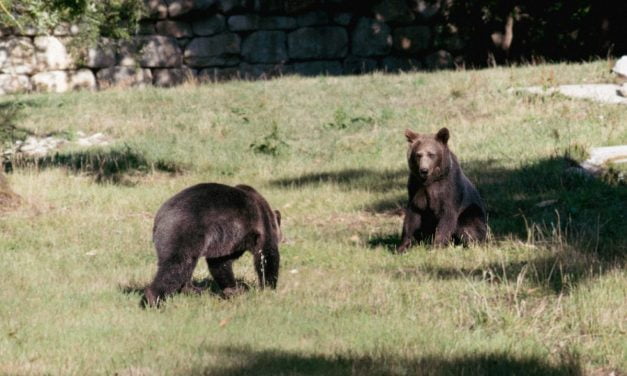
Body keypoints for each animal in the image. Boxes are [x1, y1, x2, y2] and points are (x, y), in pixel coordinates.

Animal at [145, 183, 282, 308]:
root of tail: (159, 216)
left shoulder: (227, 241)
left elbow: (220, 263)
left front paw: (232, 289)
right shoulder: (260, 224)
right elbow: (267, 255)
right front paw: (269, 287)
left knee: (185, 266)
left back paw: (195, 290)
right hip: (185, 231)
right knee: (176, 265)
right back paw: (155, 300)